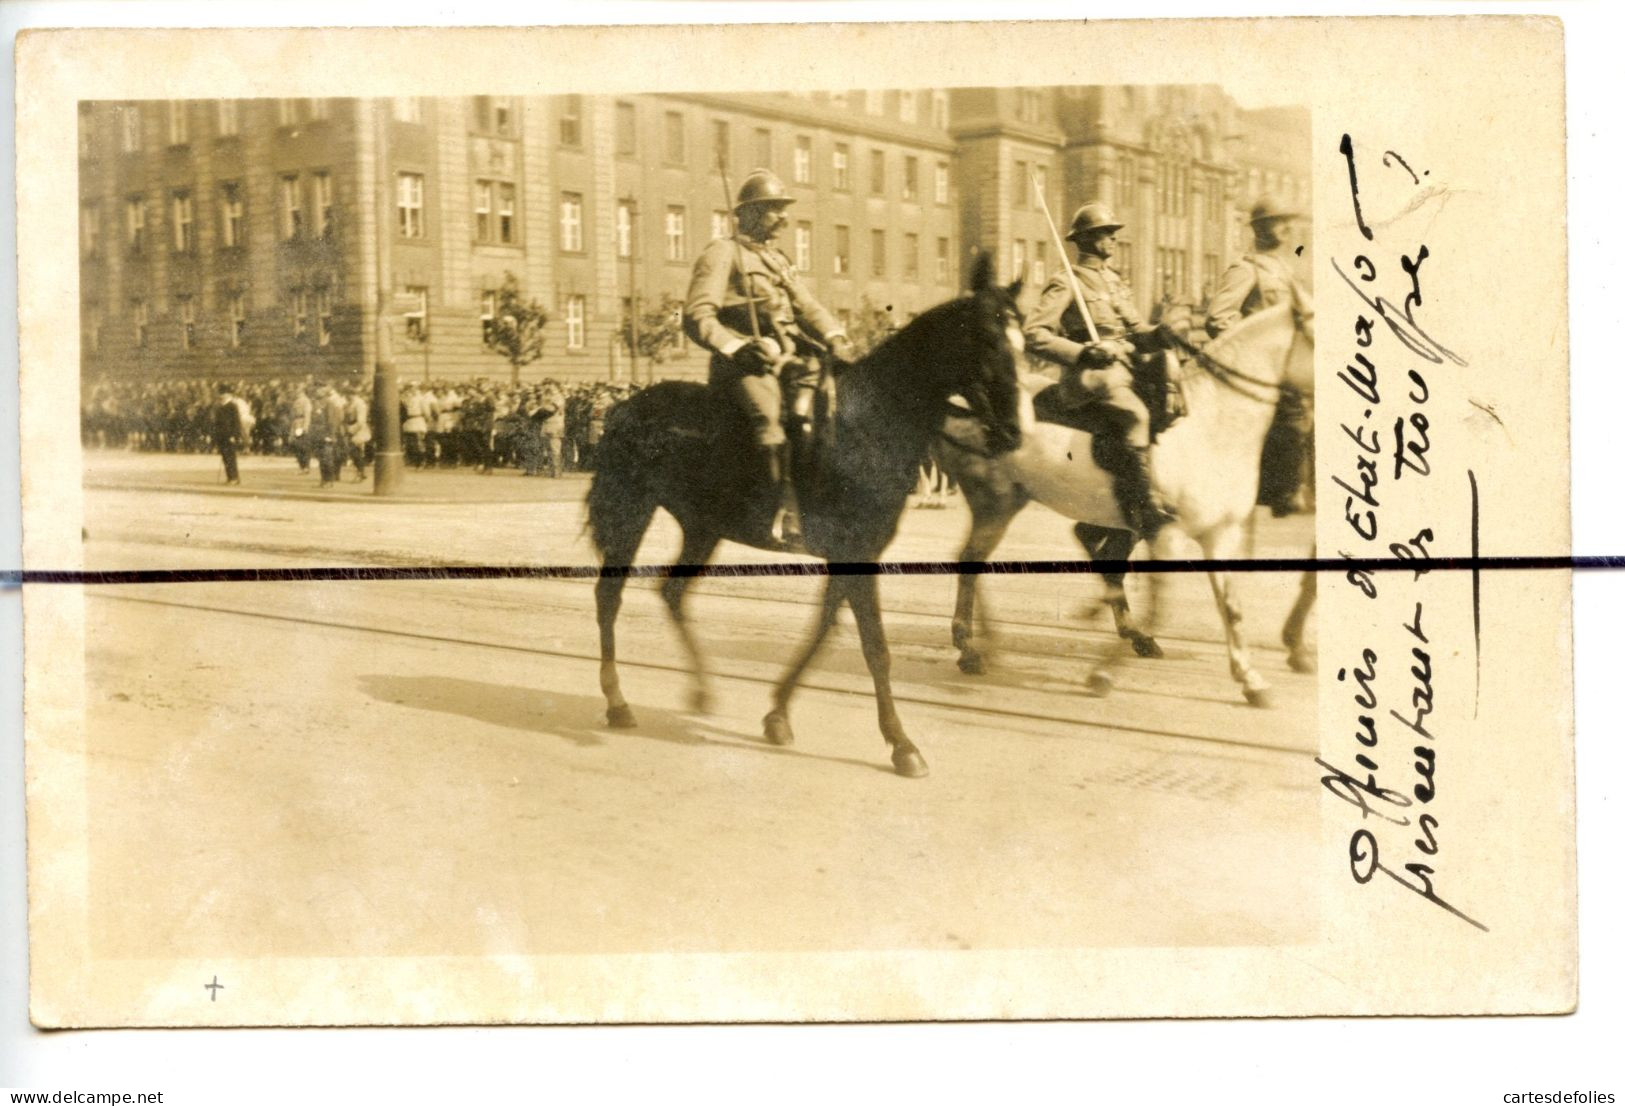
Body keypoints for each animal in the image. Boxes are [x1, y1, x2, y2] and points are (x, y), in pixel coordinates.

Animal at [585, 258, 1020, 776]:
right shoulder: (856, 551)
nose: (1014, 432)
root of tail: (621, 408)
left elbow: (824, 628)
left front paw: (777, 715)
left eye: (1025, 343)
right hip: (631, 511)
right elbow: (875, 648)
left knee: (670, 593)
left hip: (701, 527)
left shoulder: (853, 552)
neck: (871, 419)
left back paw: (702, 690)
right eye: (990, 340)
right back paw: (616, 702)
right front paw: (902, 744)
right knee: (608, 598)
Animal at [936, 297, 1313, 701]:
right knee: (970, 560)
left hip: (1013, 502)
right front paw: (1104, 672)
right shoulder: (1165, 534)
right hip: (995, 501)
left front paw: (1251, 679)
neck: (1211, 426)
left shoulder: (1219, 534)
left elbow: (1231, 606)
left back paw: (991, 641)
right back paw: (970, 648)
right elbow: (1160, 606)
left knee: (983, 561)